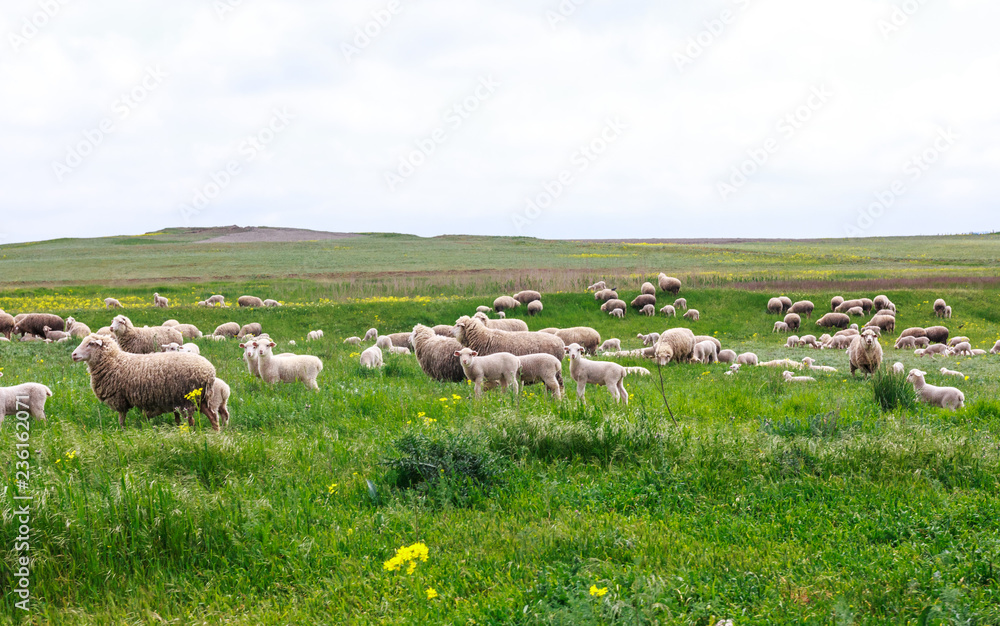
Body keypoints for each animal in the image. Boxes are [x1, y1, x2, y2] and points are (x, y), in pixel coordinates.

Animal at [71, 334, 221, 429]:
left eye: (90, 344)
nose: (73, 355)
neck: (114, 361)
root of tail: (210, 371)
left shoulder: (120, 398)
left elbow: (121, 418)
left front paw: (121, 431)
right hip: (201, 398)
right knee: (213, 416)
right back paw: (215, 433)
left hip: (187, 398)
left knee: (192, 421)